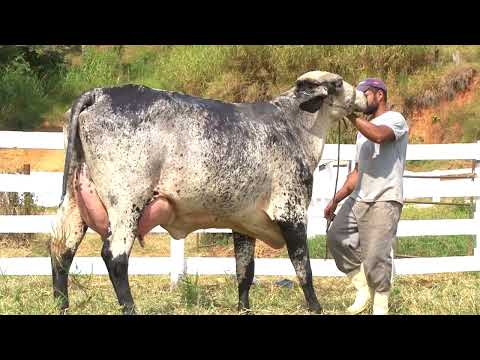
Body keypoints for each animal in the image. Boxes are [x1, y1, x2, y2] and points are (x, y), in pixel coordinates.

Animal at [49, 71, 368, 316]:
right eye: (339, 82)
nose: (364, 99)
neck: (294, 127)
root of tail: (98, 94)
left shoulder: (245, 223)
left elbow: (245, 271)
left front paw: (244, 308)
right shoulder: (291, 212)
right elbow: (303, 267)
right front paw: (316, 307)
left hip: (75, 202)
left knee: (60, 249)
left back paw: (62, 305)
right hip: (126, 202)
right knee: (114, 255)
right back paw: (129, 308)